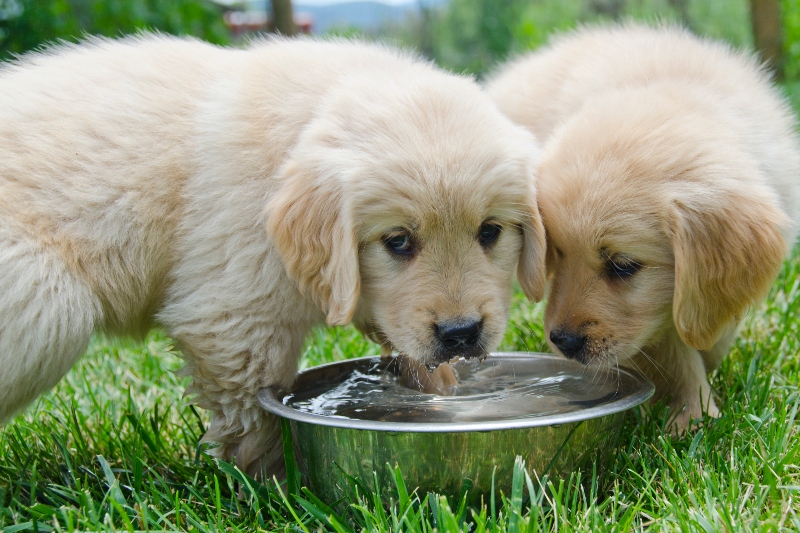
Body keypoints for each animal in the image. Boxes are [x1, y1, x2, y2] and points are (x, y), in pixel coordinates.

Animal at [0, 35, 548, 476]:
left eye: (490, 231)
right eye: (397, 241)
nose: (461, 334)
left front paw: (439, 388)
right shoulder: (234, 318)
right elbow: (256, 412)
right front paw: (274, 481)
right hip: (47, 300)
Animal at [484, 25, 800, 428]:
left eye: (622, 266)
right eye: (557, 255)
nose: (563, 342)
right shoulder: (654, 326)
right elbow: (673, 356)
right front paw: (691, 417)